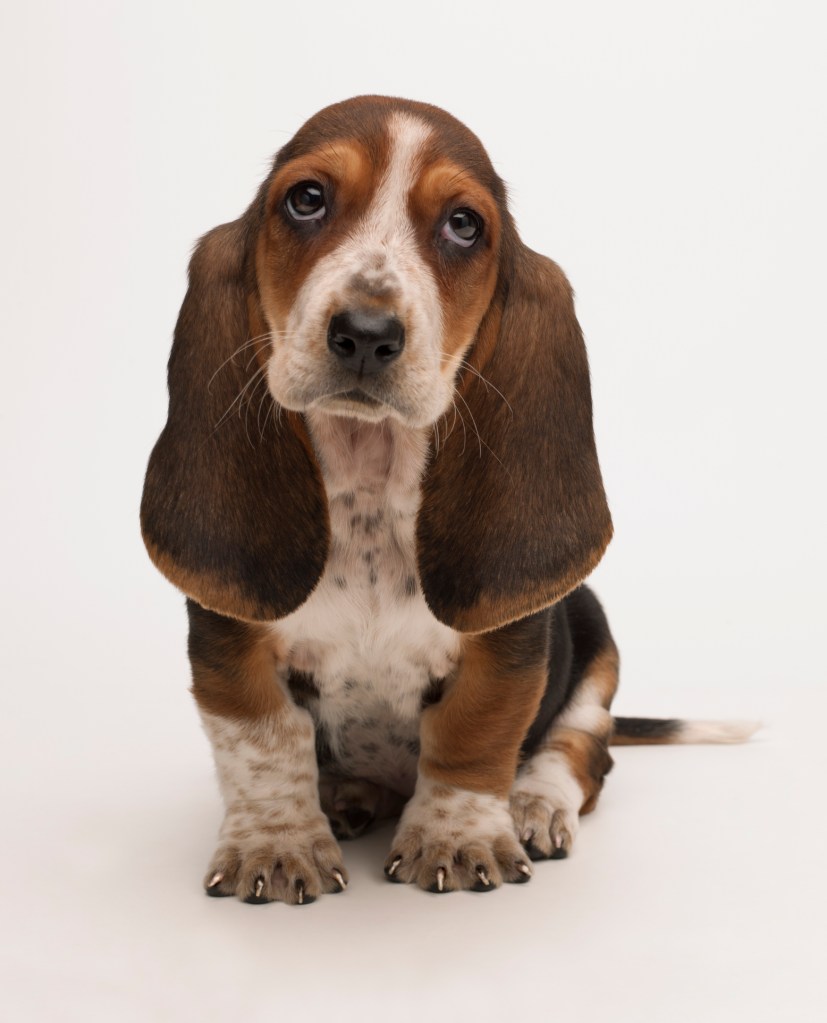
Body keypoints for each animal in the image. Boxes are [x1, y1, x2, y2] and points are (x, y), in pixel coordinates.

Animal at [140, 92, 757, 900]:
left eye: (464, 225)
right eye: (305, 200)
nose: (366, 333)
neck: (370, 476)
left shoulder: (507, 651)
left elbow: (474, 734)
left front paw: (457, 840)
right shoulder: (229, 644)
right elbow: (264, 741)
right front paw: (276, 845)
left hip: (595, 642)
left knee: (582, 753)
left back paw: (533, 806)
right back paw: (347, 795)